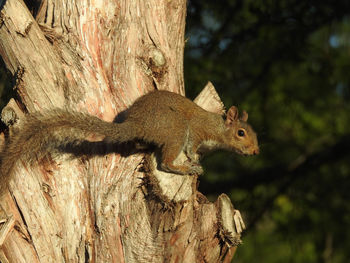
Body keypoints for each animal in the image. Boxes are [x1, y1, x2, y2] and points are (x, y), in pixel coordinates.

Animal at [0, 89, 258, 183]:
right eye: (241, 133)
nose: (256, 151)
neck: (219, 129)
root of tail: (138, 124)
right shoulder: (196, 129)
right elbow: (192, 145)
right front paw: (194, 160)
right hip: (175, 128)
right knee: (165, 163)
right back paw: (184, 168)